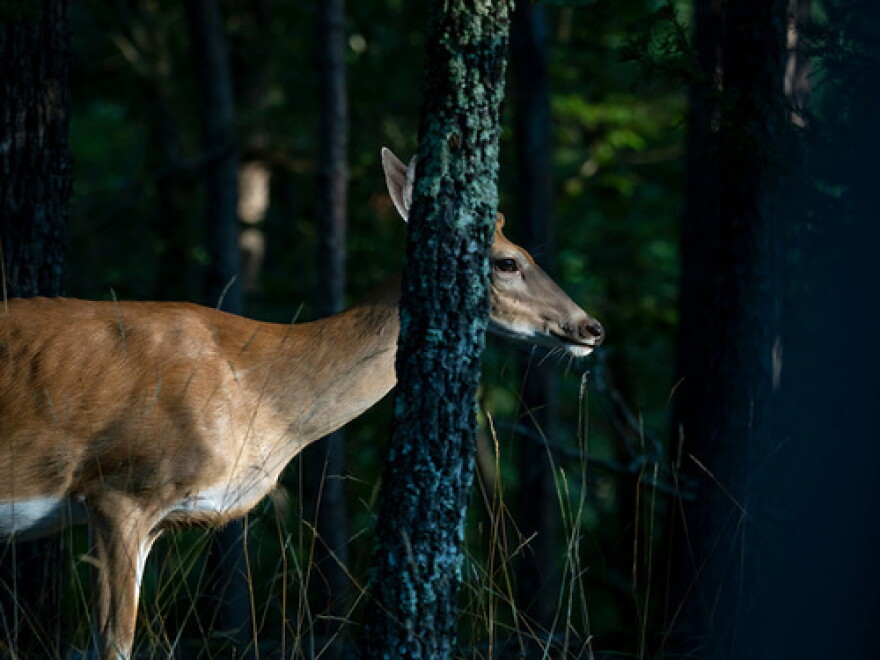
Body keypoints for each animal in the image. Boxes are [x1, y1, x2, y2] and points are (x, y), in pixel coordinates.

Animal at [0, 148, 604, 658]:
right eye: (507, 262)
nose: (591, 327)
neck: (260, 392)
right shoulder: (120, 486)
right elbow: (114, 643)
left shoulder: (151, 518)